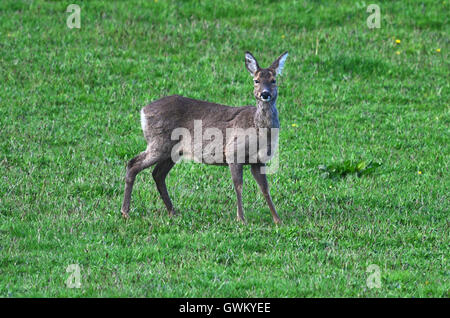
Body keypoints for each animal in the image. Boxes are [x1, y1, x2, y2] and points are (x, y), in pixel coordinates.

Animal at [119, 51, 288, 224]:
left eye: (274, 80)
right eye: (256, 80)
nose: (265, 94)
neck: (258, 129)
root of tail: (143, 111)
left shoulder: (258, 160)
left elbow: (265, 188)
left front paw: (277, 220)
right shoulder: (233, 152)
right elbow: (238, 185)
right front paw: (241, 219)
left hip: (172, 151)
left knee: (157, 174)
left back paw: (172, 211)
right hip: (158, 143)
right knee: (133, 164)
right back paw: (125, 212)